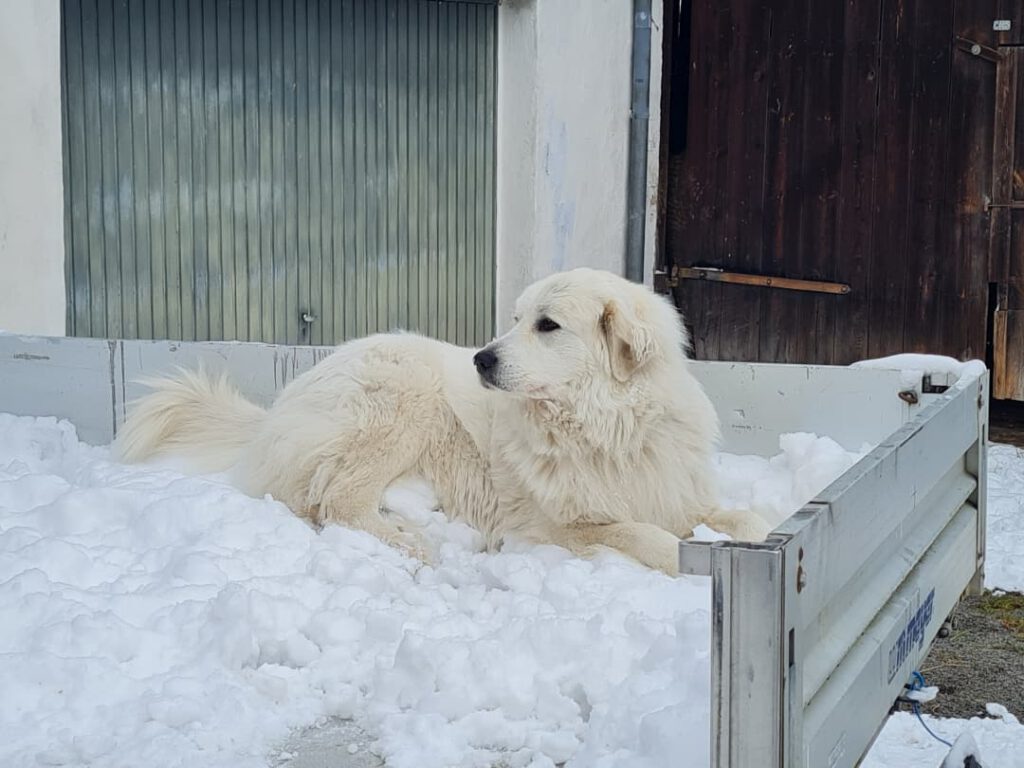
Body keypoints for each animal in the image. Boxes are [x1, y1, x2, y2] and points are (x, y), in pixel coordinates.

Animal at [114, 268, 770, 573]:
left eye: (547, 325)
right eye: (515, 318)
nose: (481, 358)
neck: (609, 427)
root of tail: (281, 404)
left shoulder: (676, 492)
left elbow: (746, 518)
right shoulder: (564, 527)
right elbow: (648, 537)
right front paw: (688, 562)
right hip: (401, 402)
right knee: (332, 500)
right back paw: (407, 540)